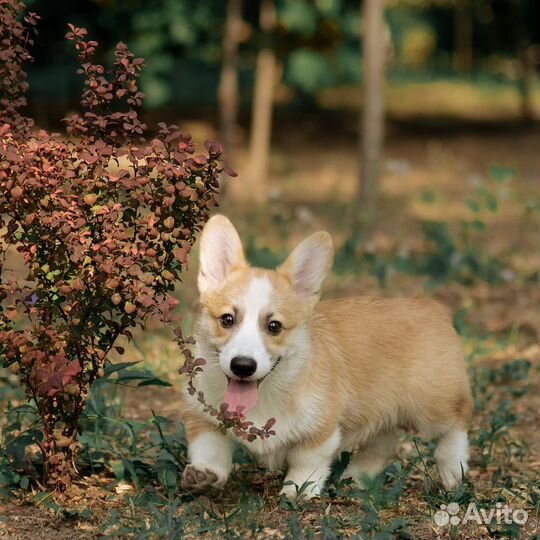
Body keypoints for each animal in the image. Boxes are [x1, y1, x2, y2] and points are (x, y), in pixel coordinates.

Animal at [179, 214, 470, 498]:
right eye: (227, 319)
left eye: (274, 326)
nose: (242, 366)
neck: (267, 394)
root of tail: (430, 305)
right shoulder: (204, 418)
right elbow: (210, 448)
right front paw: (205, 474)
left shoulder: (321, 429)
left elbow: (307, 461)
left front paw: (297, 490)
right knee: (384, 443)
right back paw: (355, 478)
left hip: (430, 406)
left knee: (458, 419)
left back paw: (453, 468)